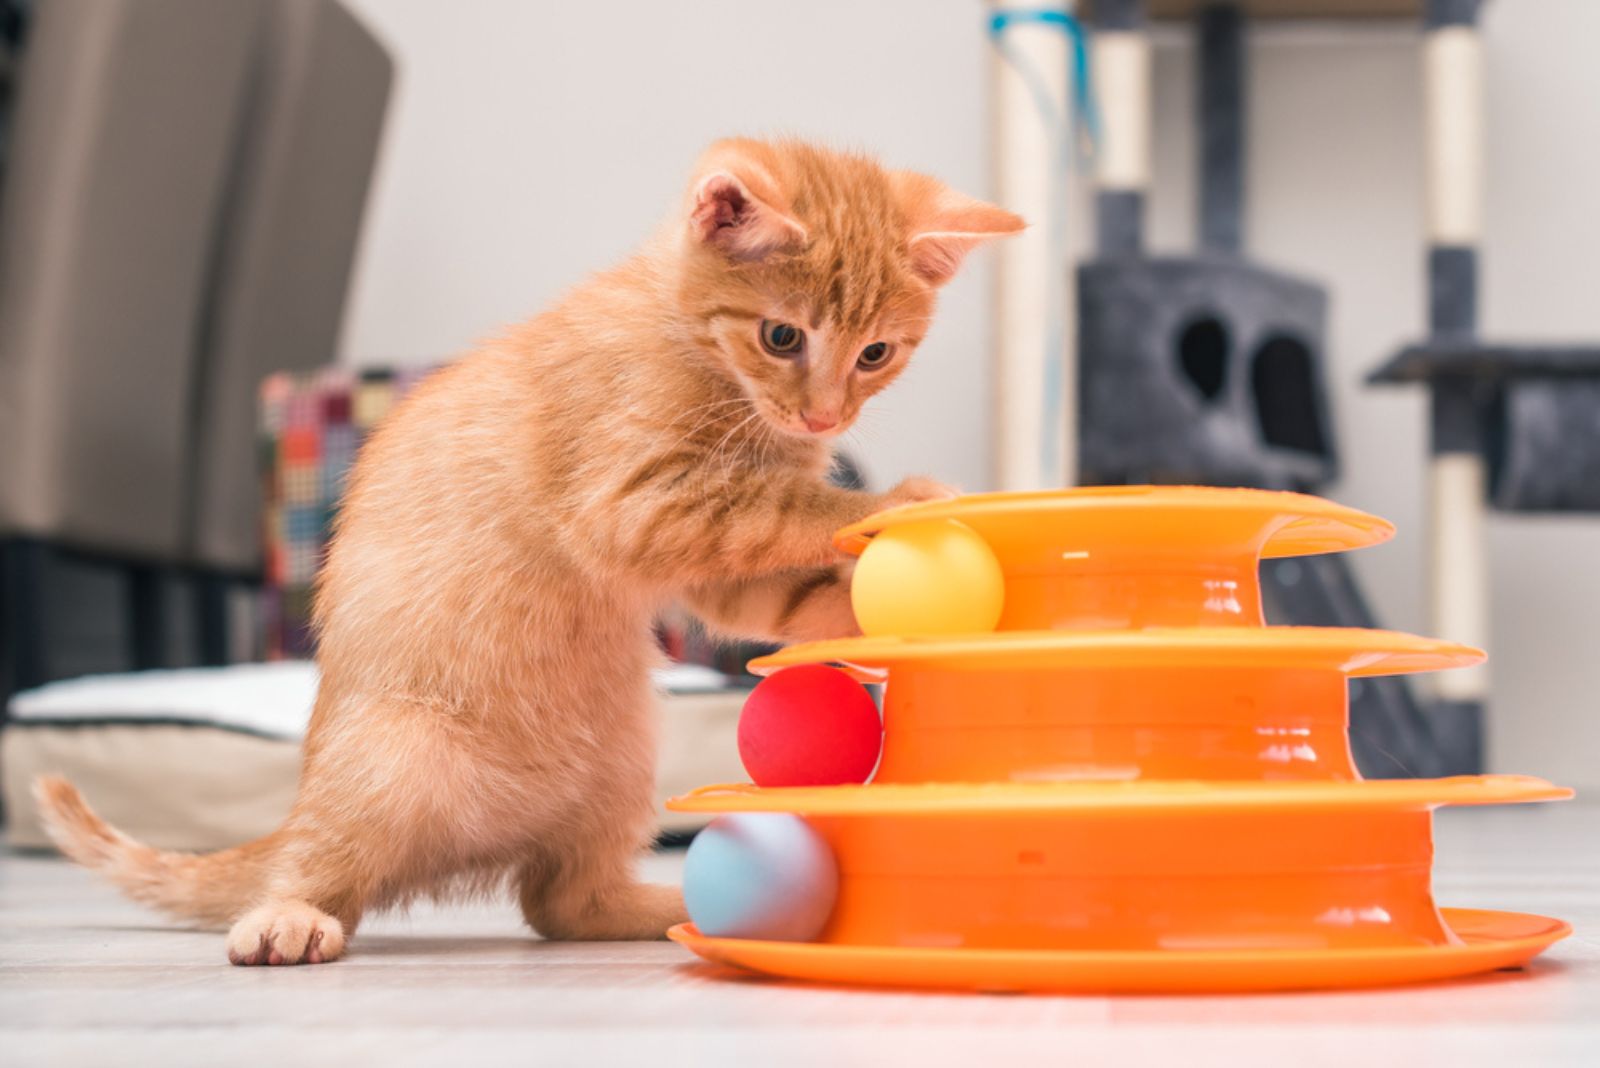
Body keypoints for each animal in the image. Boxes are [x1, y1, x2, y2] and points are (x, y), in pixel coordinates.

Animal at [37, 137, 1024, 965]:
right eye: (783, 336)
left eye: (875, 354)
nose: (823, 417)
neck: (694, 345)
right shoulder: (637, 501)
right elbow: (783, 503)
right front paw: (896, 501)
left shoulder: (709, 558)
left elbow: (772, 582)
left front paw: (863, 602)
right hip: (390, 759)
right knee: (323, 865)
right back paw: (286, 917)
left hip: (622, 759)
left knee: (558, 905)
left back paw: (658, 905)